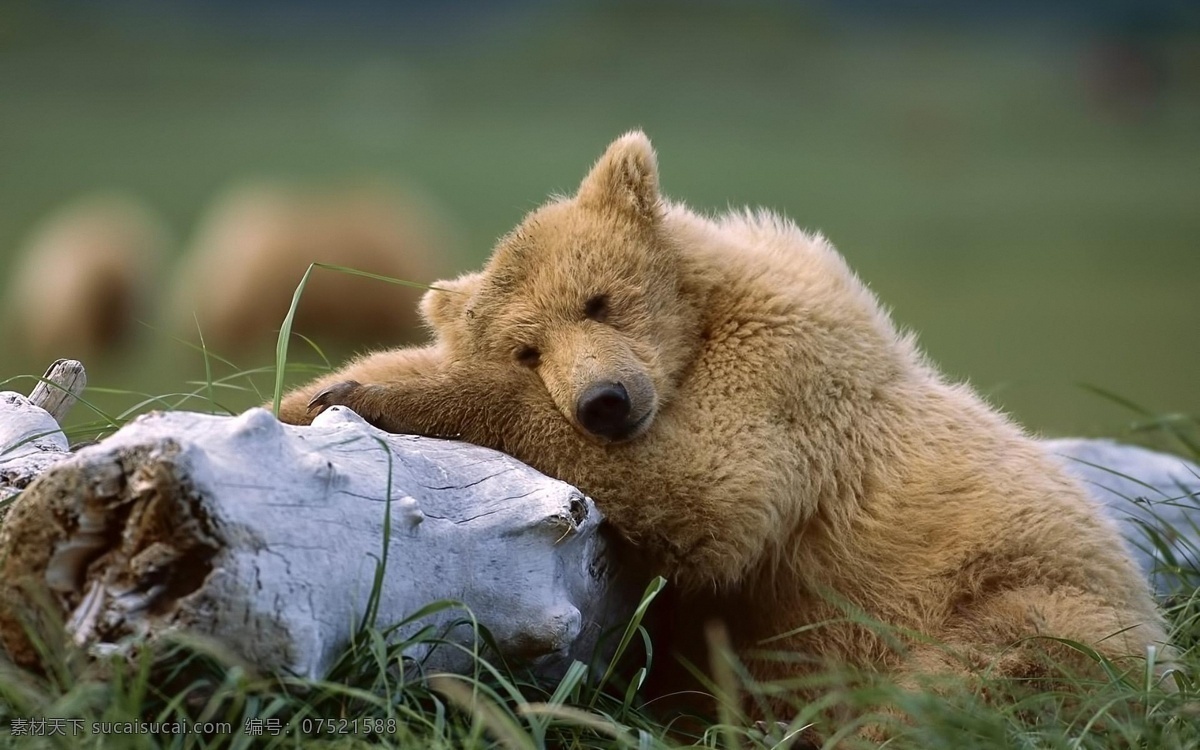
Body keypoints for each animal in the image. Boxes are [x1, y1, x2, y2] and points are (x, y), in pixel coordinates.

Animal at [278, 132, 1167, 727]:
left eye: (599, 300)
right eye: (528, 347)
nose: (604, 401)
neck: (700, 326)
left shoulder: (785, 376)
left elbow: (709, 490)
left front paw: (379, 395)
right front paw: (316, 392)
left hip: (1033, 600)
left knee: (966, 686)